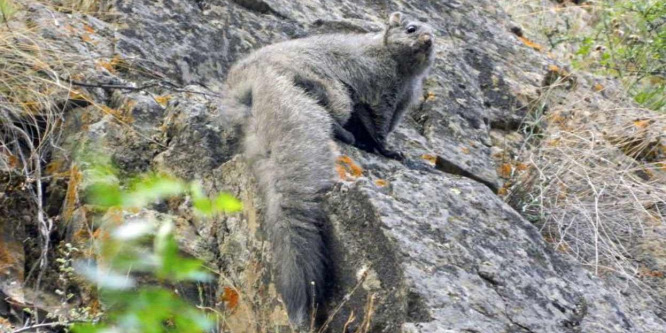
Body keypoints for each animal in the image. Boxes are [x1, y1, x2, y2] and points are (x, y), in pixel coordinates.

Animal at [220, 12, 434, 324]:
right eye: (411, 29)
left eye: (436, 34)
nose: (428, 39)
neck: (406, 79)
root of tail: (251, 78)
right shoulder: (381, 94)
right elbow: (379, 128)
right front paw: (390, 150)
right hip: (334, 90)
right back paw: (345, 134)